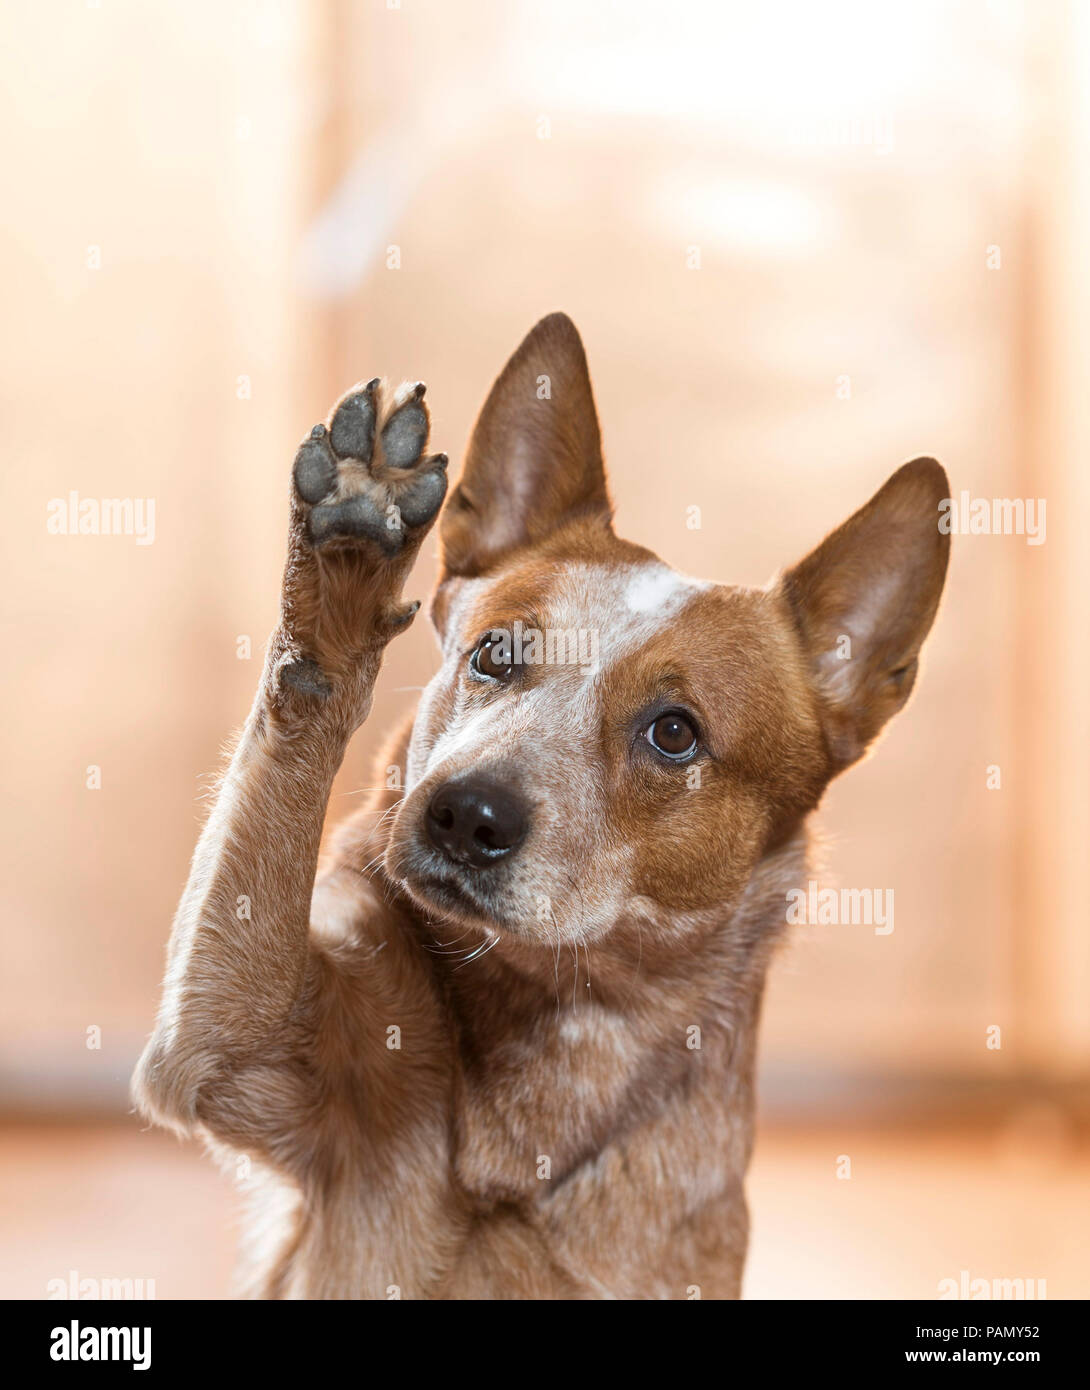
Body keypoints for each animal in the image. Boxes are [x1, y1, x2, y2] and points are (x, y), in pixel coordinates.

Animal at [134, 309, 945, 1295]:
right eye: (494, 653)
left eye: (674, 733)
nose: (464, 814)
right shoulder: (228, 1042)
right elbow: (298, 729)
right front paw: (348, 559)